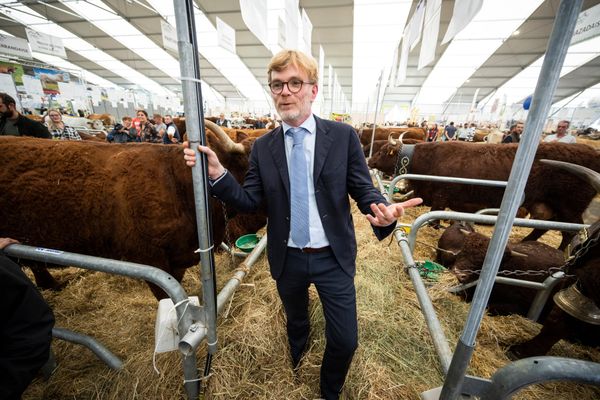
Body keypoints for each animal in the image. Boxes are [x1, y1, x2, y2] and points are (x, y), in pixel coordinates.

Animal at [368, 140, 600, 247]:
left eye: (382, 152)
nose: (369, 160)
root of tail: (592, 152)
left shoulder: (441, 197)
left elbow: (434, 217)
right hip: (549, 207)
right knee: (544, 227)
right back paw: (524, 243)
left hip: (570, 208)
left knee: (570, 232)